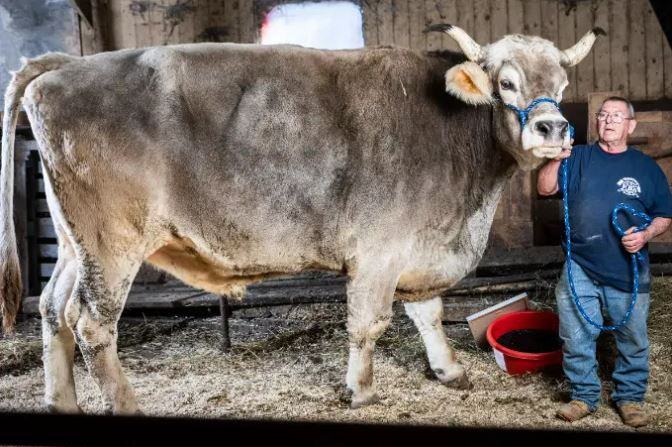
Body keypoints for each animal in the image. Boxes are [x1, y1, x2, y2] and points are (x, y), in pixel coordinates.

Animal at [0, 26, 604, 414]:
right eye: (506, 82)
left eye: (561, 85)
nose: (554, 130)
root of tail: (69, 65)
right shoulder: (379, 251)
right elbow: (369, 324)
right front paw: (360, 390)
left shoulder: (417, 247)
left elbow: (428, 314)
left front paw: (449, 371)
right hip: (112, 243)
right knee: (92, 324)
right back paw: (124, 406)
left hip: (76, 244)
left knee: (53, 309)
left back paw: (61, 402)